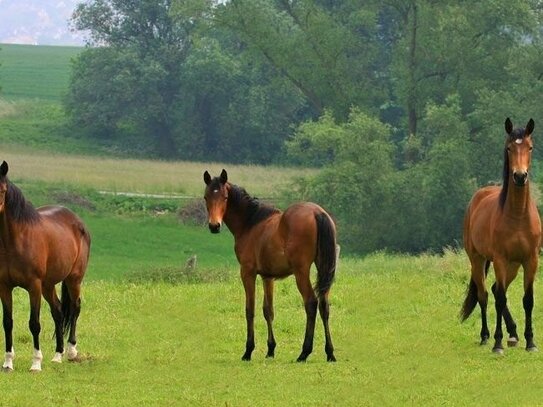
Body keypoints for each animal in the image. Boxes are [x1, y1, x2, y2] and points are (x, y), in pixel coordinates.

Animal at [0, 161, 91, 372]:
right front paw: (8, 362)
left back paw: (71, 351)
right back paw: (57, 355)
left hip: (73, 279)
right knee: (58, 311)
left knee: (75, 308)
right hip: (48, 285)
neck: (15, 241)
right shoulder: (4, 286)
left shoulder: (33, 286)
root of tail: (77, 220)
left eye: (3, 190)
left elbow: (34, 323)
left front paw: (35, 363)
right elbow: (7, 322)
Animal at [204, 171, 338, 362]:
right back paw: (330, 353)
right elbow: (268, 311)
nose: (214, 226)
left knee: (311, 303)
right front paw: (270, 350)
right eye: (206, 197)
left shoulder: (248, 272)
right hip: (324, 268)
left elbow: (250, 310)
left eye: (225, 197)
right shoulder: (267, 277)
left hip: (301, 272)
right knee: (324, 305)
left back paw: (304, 352)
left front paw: (248, 351)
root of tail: (317, 213)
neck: (250, 223)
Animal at [462, 118, 540, 354]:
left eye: (530, 147)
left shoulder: (530, 260)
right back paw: (486, 336)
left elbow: (528, 300)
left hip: (513, 265)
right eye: (509, 148)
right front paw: (498, 344)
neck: (518, 215)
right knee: (486, 295)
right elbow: (500, 299)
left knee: (496, 290)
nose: (520, 176)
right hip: (478, 260)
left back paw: (513, 334)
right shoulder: (500, 259)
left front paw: (531, 342)